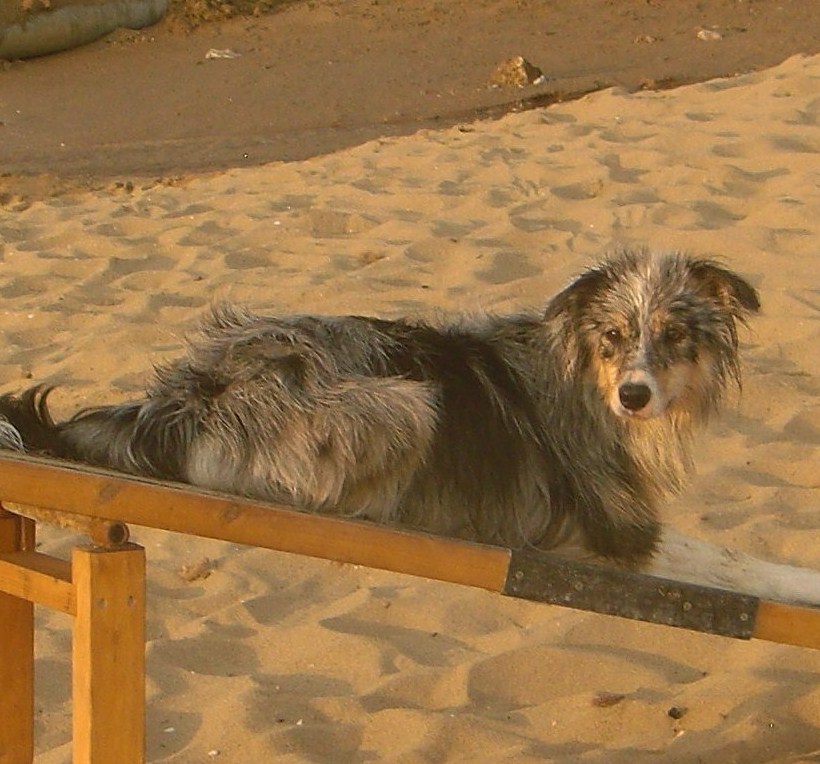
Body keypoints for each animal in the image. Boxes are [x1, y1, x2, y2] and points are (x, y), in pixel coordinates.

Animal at [1, 249, 820, 604]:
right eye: (614, 337)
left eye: (675, 336)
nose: (636, 397)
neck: (582, 375)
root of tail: (168, 402)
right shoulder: (622, 533)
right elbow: (737, 562)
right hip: (407, 403)